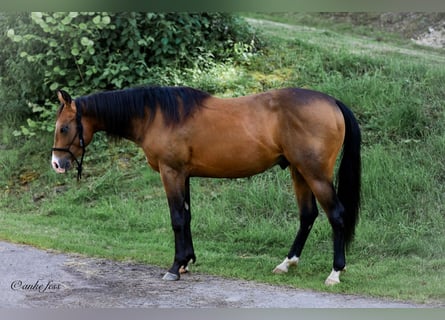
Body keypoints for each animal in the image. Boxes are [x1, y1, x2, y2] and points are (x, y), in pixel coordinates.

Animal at [50, 85, 360, 284]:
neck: (154, 115)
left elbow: (176, 219)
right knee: (307, 215)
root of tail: (332, 102)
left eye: (64, 127)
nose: (56, 163)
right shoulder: (183, 175)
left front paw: (175, 267)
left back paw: (334, 273)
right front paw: (187, 261)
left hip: (315, 174)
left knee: (336, 216)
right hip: (299, 172)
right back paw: (287, 263)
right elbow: (186, 217)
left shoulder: (171, 173)